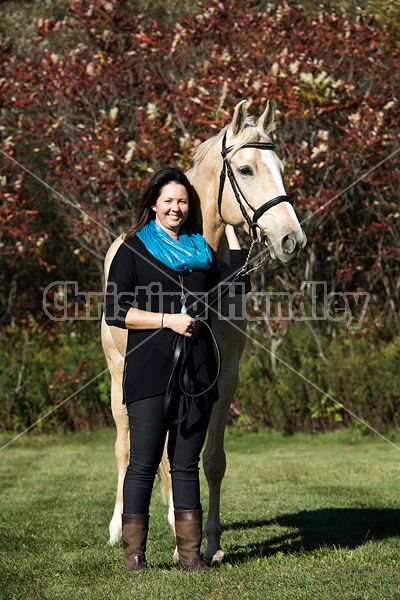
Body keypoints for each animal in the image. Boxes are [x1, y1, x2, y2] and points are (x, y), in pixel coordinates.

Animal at [101, 98, 306, 564]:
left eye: (282, 166)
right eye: (245, 170)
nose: (292, 239)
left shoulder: (225, 375)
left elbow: (211, 460)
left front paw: (208, 542)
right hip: (120, 374)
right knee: (125, 447)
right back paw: (119, 527)